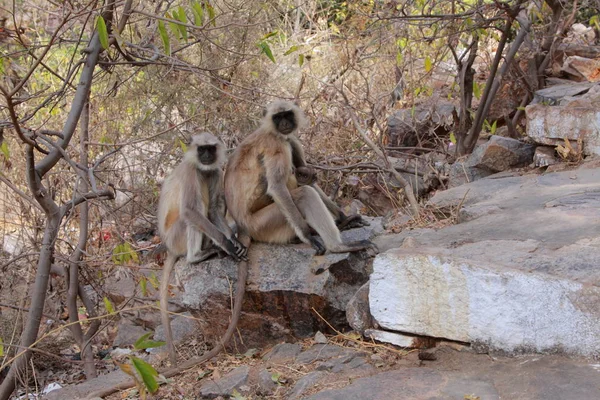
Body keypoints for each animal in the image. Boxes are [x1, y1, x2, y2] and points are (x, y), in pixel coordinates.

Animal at [157, 132, 248, 366]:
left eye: (210, 149)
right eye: (201, 149)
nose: (206, 156)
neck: (201, 166)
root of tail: (168, 245)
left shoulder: (215, 171)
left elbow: (215, 208)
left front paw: (233, 242)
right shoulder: (192, 171)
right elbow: (190, 210)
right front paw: (228, 244)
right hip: (176, 236)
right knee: (192, 212)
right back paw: (196, 256)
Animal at [225, 101, 376, 256]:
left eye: (287, 115)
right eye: (277, 117)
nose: (284, 123)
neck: (272, 131)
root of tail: (242, 227)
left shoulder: (290, 140)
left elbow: (310, 179)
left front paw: (344, 218)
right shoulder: (277, 144)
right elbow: (277, 187)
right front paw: (308, 236)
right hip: (260, 224)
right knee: (304, 193)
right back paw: (337, 246)